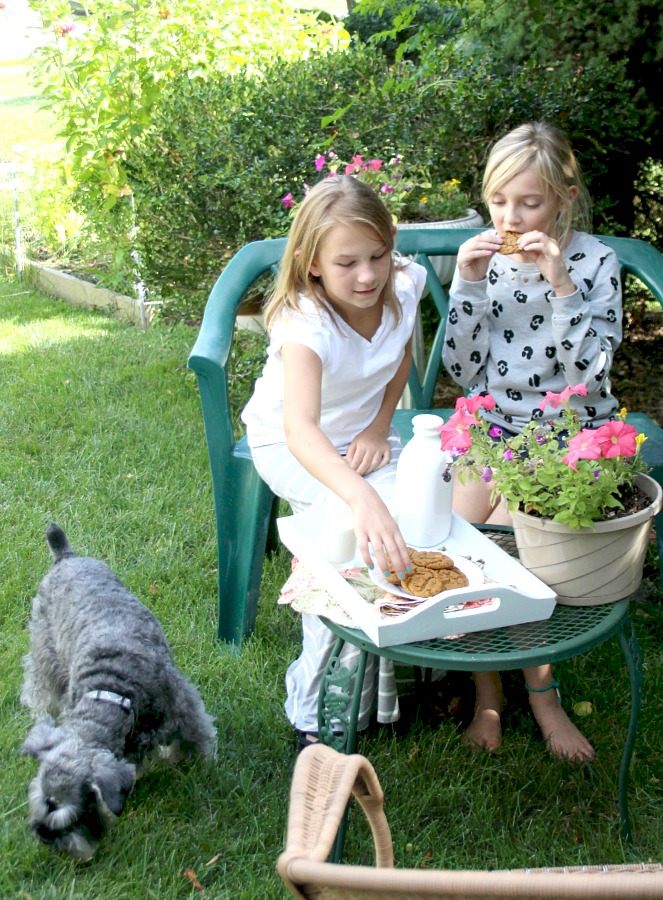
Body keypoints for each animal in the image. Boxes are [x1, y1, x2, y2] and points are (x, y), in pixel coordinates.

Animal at [20, 524, 218, 860]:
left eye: (77, 809)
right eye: (38, 800)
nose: (46, 836)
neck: (113, 692)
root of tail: (65, 557)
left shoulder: (183, 707)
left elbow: (199, 736)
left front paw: (203, 764)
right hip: (46, 652)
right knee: (38, 688)